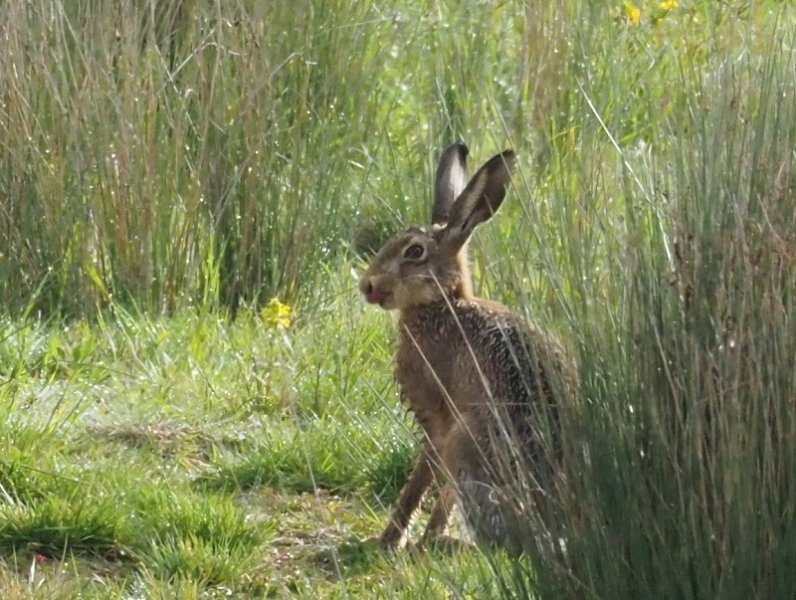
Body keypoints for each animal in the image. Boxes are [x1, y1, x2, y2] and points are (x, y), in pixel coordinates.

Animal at [360, 142, 577, 552]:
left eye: (414, 252)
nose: (368, 285)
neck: (444, 303)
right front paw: (426, 535)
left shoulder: (438, 418)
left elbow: (422, 480)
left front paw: (391, 539)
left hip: (471, 442)